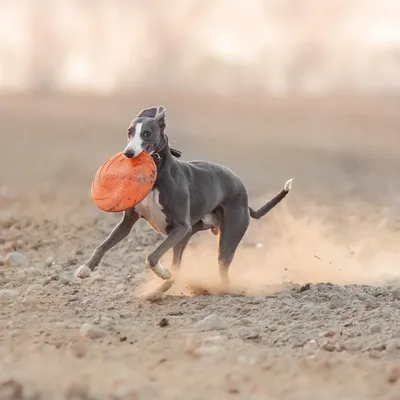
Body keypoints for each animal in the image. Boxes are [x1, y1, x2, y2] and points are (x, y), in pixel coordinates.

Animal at [76, 104, 294, 298]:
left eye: (147, 133)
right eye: (129, 132)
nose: (128, 153)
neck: (157, 178)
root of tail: (245, 197)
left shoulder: (180, 226)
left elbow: (152, 257)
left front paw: (162, 272)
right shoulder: (128, 223)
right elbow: (103, 245)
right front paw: (85, 269)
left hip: (224, 238)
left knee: (220, 269)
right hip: (185, 238)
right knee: (178, 270)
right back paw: (156, 293)